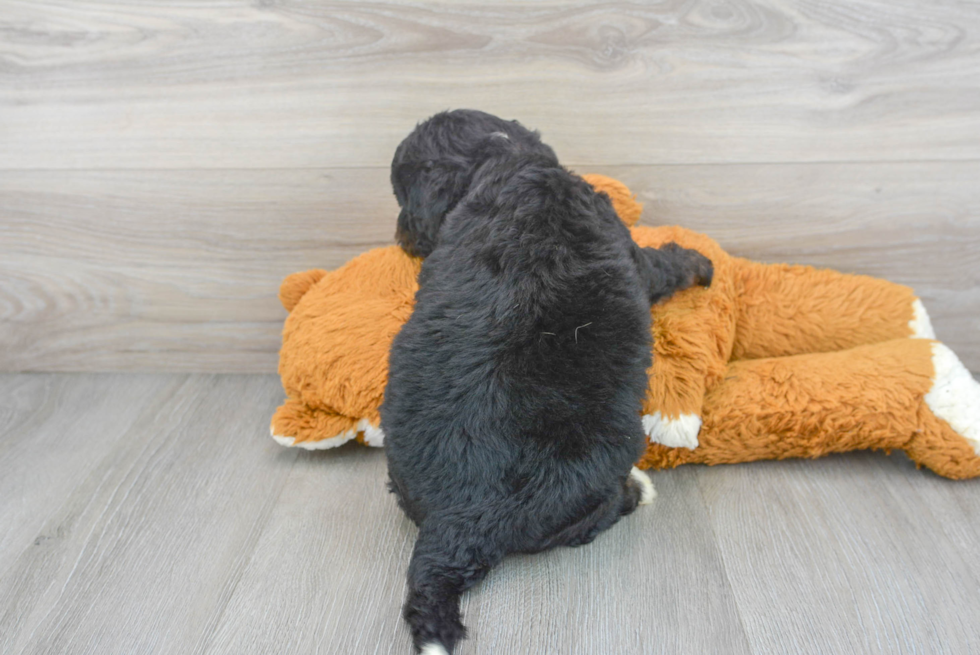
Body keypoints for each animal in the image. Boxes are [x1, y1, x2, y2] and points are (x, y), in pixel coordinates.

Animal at [380, 110, 712, 652]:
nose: (402, 237)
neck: (506, 162)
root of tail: (455, 523)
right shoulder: (633, 255)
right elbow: (663, 264)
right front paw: (701, 262)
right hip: (601, 466)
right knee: (599, 514)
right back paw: (637, 489)